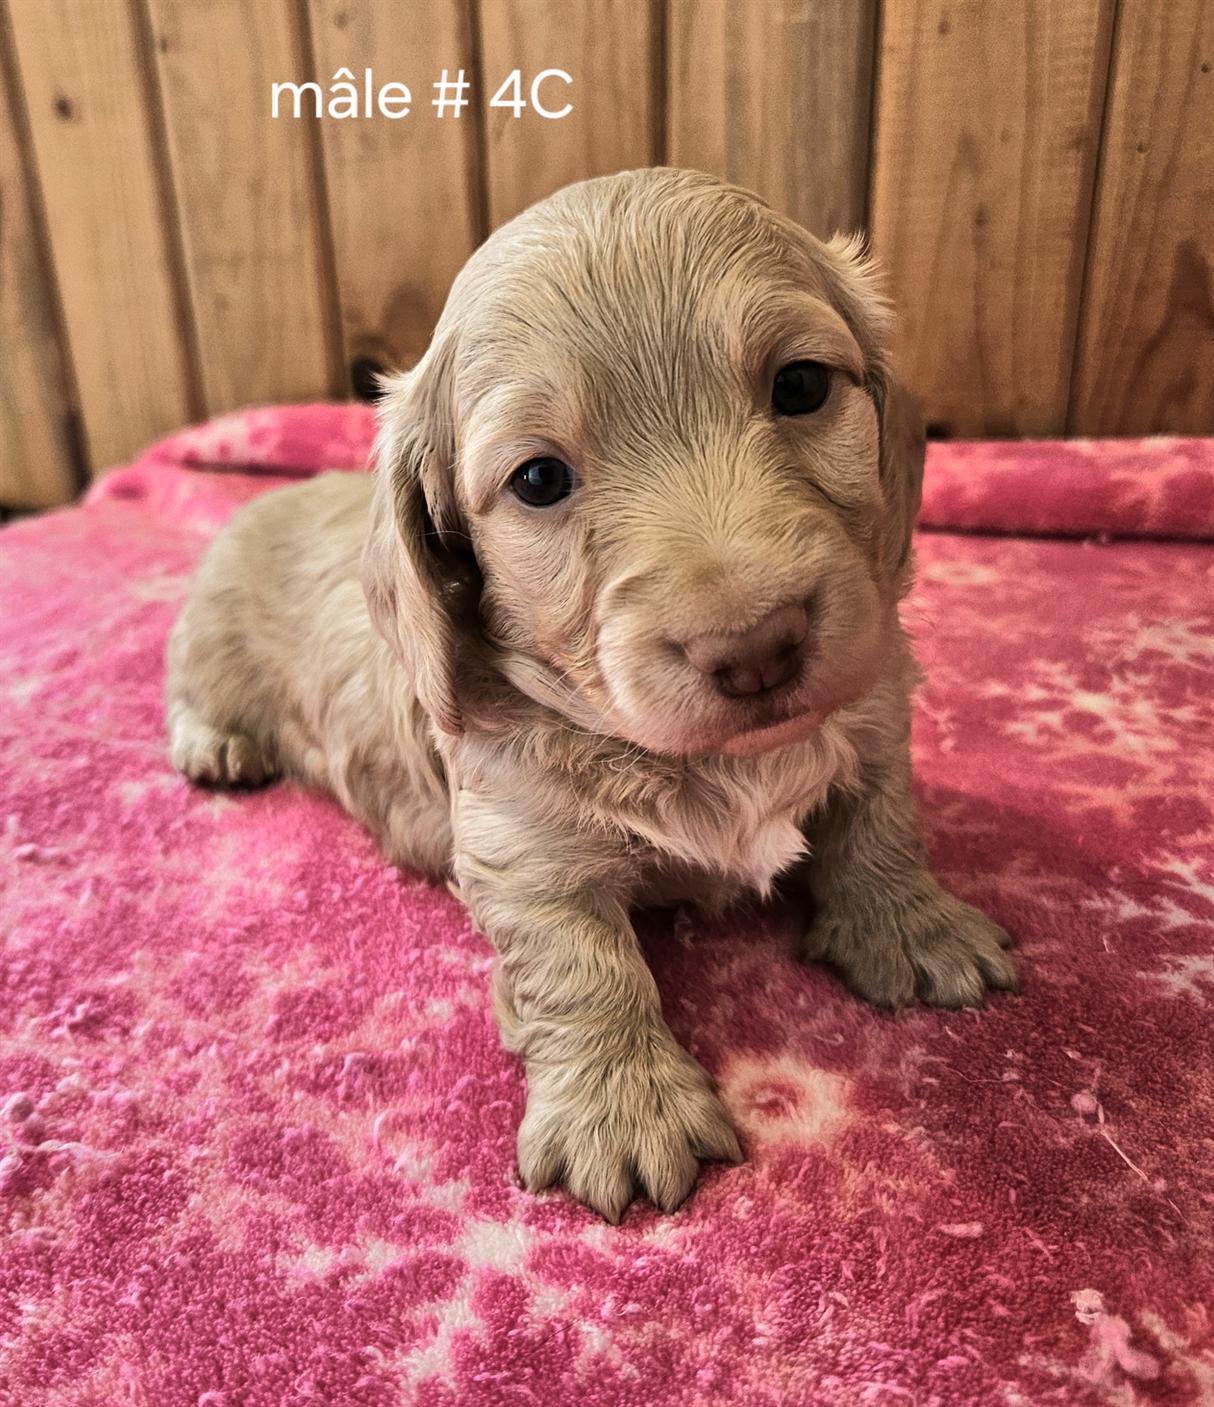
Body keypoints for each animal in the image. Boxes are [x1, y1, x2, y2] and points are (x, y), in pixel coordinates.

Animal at [167, 168, 1016, 1221]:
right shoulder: (517, 840)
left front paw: (914, 925)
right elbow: (579, 961)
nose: (757, 647)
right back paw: (216, 746)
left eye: (801, 386)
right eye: (538, 478)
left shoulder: (876, 711)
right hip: (209, 634)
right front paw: (625, 1106)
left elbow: (881, 821)